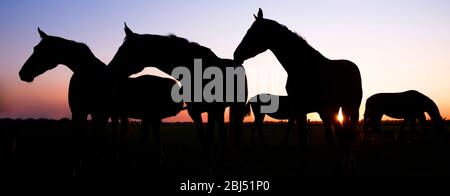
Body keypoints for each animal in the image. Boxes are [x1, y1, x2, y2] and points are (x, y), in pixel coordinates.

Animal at [108, 24, 250, 155]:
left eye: (123, 50)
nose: (109, 70)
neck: (198, 71)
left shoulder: (212, 110)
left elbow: (209, 137)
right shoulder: (194, 112)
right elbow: (203, 139)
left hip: (234, 107)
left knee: (233, 131)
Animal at [236, 8, 362, 166]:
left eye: (252, 32)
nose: (236, 54)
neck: (305, 67)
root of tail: (353, 66)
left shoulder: (315, 109)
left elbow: (322, 138)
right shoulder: (300, 108)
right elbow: (303, 138)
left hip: (352, 108)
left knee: (349, 134)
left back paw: (348, 159)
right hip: (339, 108)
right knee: (343, 134)